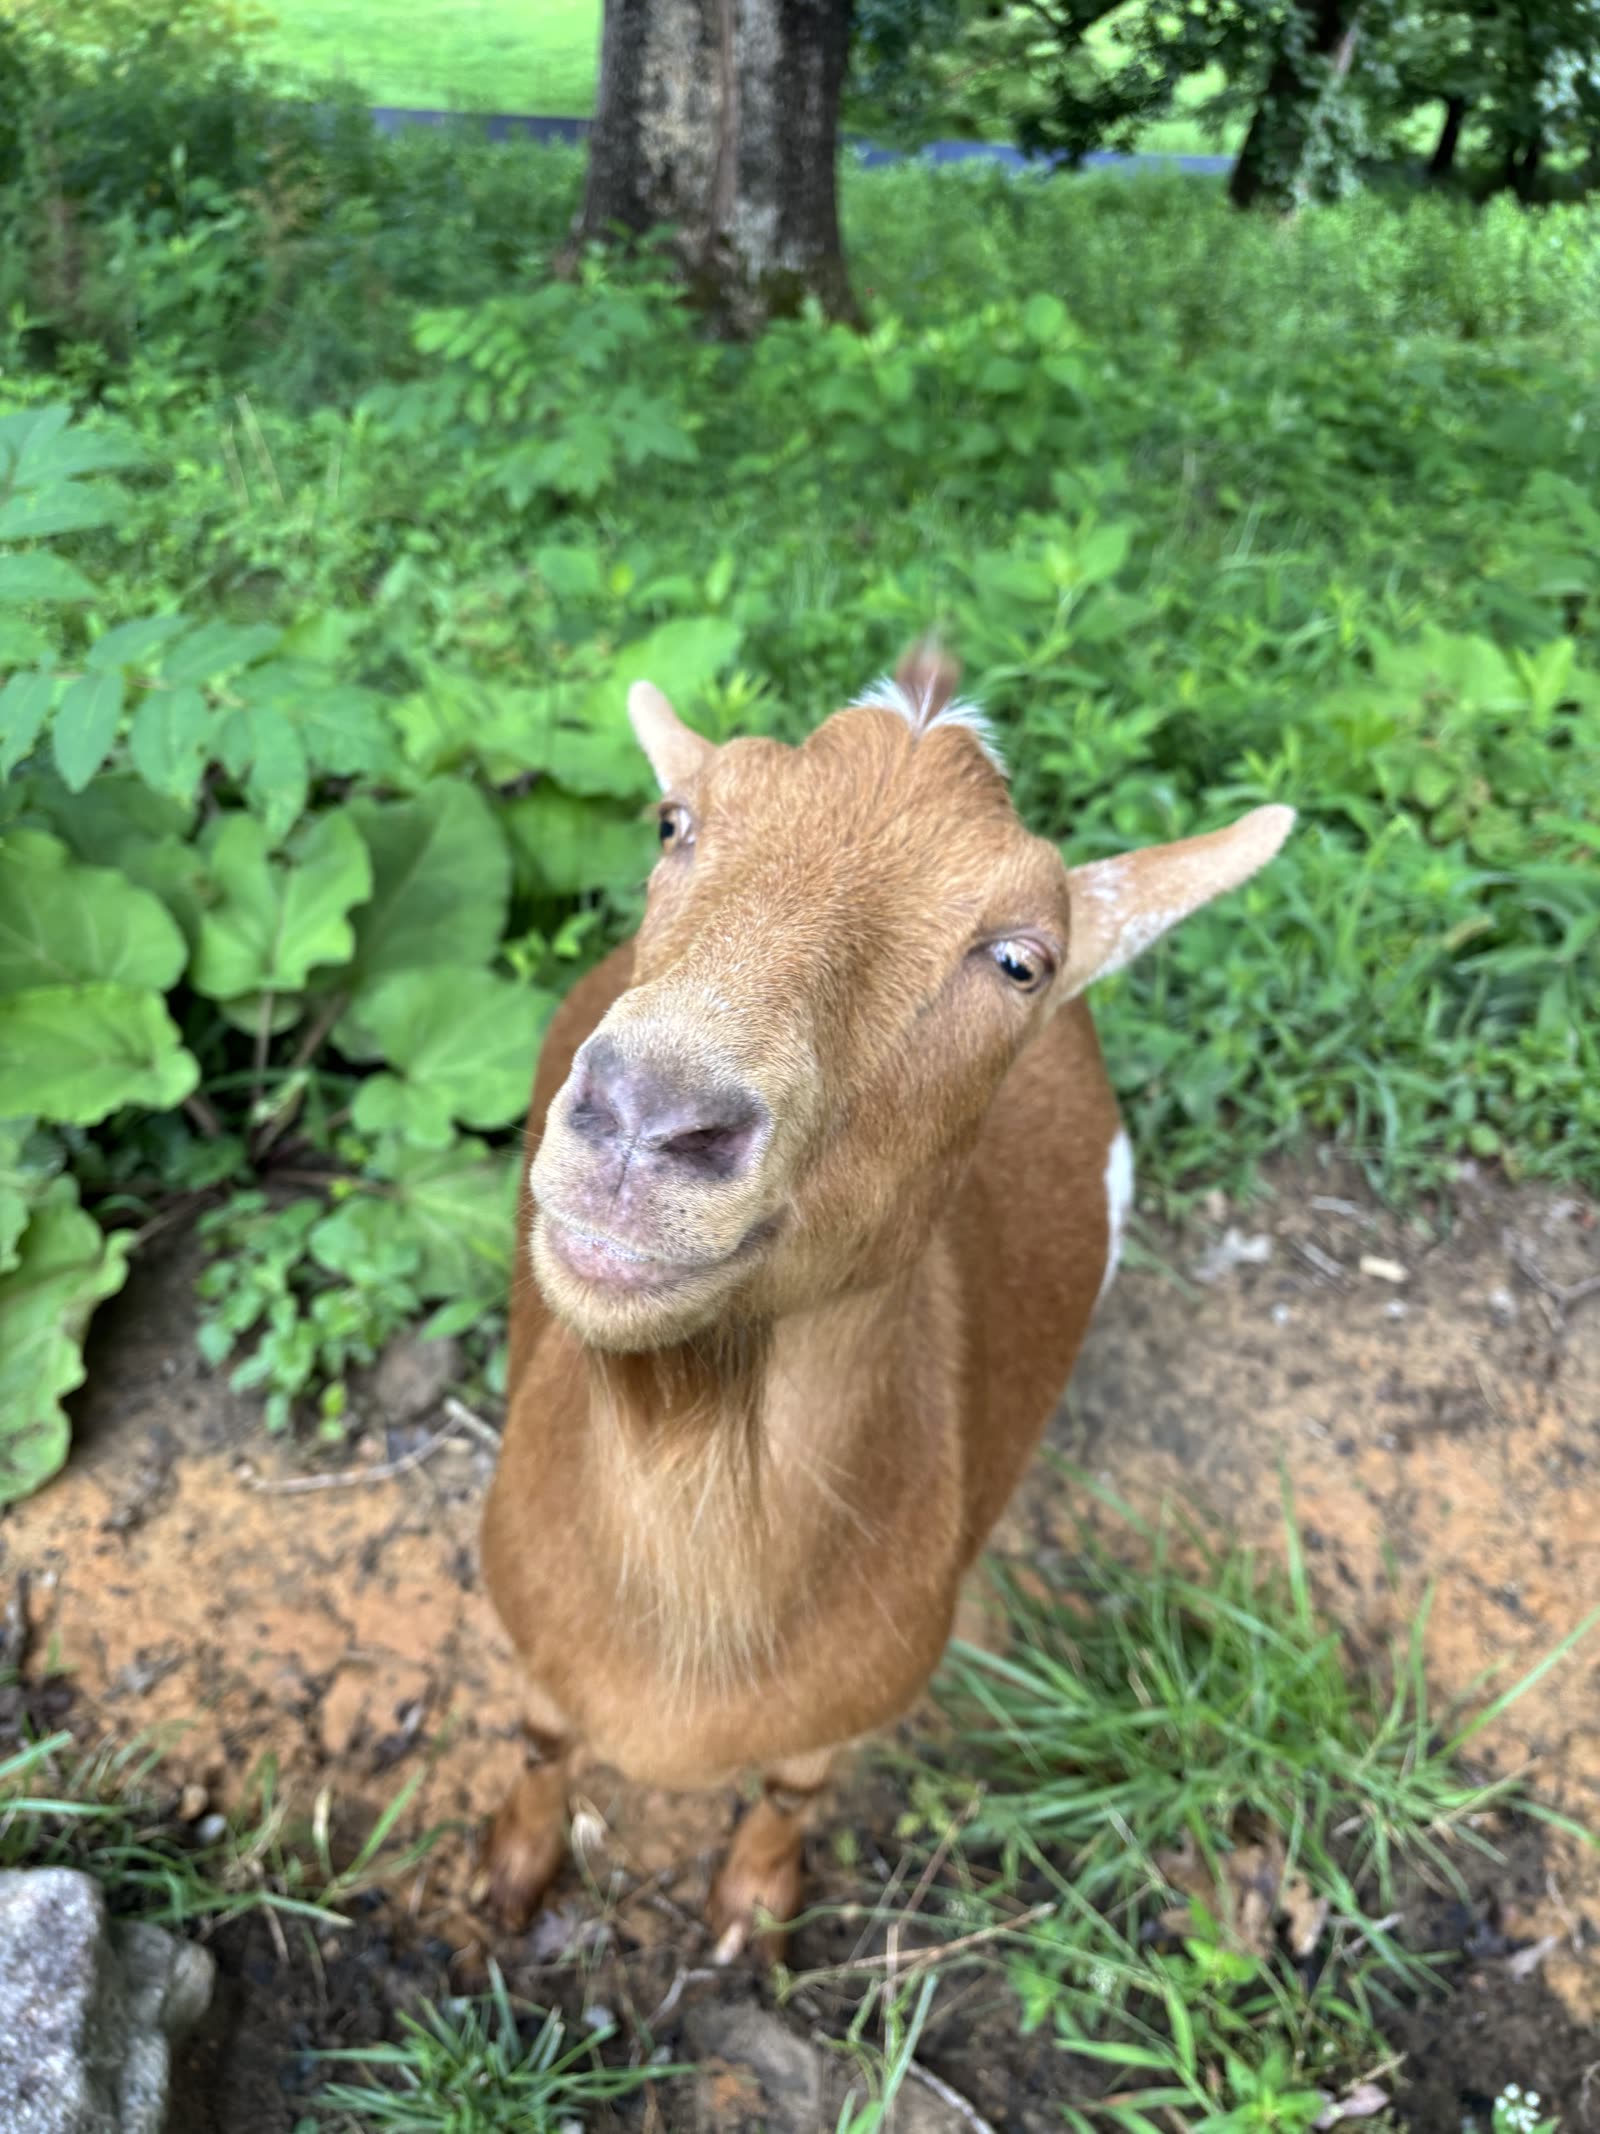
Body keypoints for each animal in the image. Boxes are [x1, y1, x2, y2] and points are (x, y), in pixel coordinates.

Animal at [480, 644, 1292, 1958]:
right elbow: (546, 1739)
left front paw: (753, 1910)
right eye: (674, 821)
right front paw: (511, 1867)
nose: (649, 1115)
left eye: (1020, 958)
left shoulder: (852, 1699)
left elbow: (794, 1787)